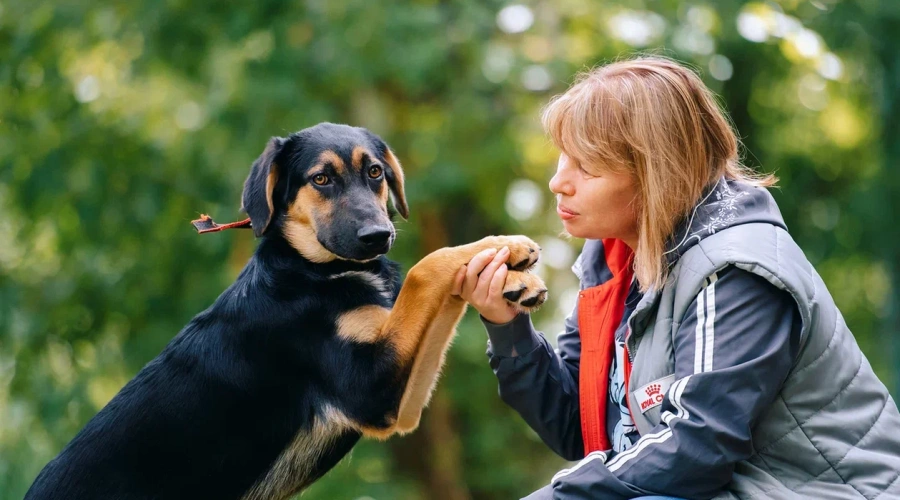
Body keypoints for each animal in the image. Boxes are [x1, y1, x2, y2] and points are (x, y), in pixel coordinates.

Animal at [25, 123, 548, 500]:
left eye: (375, 173)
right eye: (321, 179)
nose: (379, 236)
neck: (314, 271)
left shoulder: (399, 403)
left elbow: (442, 283)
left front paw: (510, 271)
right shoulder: (370, 390)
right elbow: (426, 268)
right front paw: (504, 255)